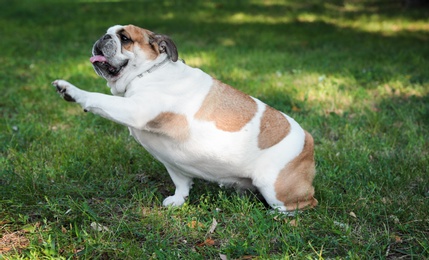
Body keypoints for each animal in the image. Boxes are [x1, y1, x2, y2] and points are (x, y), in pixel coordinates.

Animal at [51, 24, 316, 213]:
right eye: (108, 33)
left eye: (124, 38)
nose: (103, 38)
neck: (148, 74)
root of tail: (308, 141)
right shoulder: (172, 162)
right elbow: (181, 182)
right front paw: (179, 200)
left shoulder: (135, 109)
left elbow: (98, 99)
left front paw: (72, 91)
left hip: (274, 187)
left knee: (304, 203)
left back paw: (277, 214)